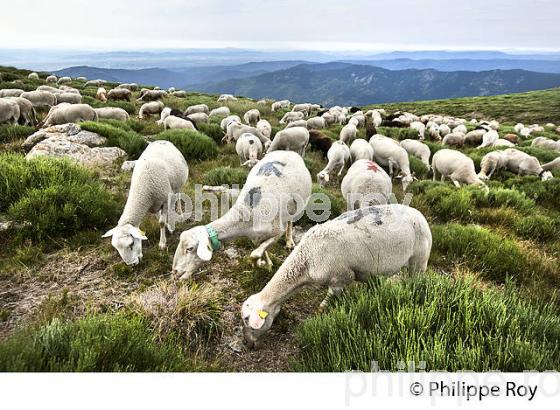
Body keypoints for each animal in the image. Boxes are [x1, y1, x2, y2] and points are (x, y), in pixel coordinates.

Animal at [172, 151, 310, 278]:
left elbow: (254, 254)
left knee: (290, 221)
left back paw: (289, 241)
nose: (174, 271)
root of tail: (288, 151)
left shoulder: (277, 232)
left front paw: (259, 264)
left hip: (296, 205)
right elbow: (260, 251)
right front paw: (266, 264)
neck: (245, 214)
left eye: (189, 248)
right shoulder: (257, 237)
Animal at [241, 203, 434, 348]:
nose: (247, 344)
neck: (306, 259)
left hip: (419, 261)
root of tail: (419, 214)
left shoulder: (341, 277)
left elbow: (325, 302)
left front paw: (319, 316)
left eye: (246, 319)